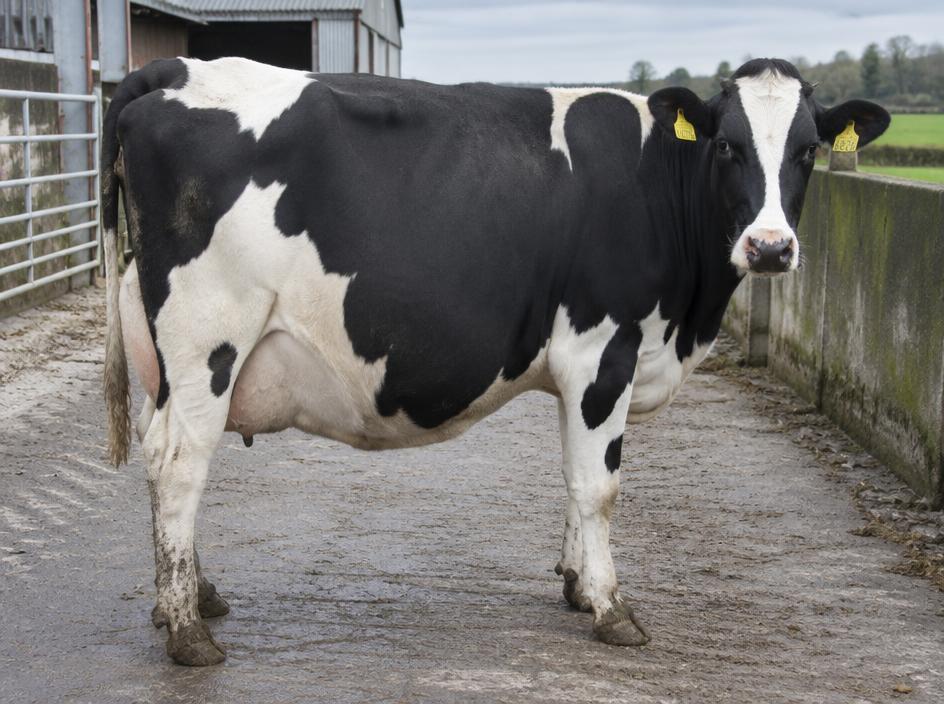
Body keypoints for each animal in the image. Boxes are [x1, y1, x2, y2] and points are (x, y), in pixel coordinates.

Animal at [101, 56, 889, 666]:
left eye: (807, 150)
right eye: (726, 146)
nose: (770, 247)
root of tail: (173, 69)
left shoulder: (580, 370)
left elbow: (573, 475)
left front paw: (577, 584)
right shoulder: (603, 349)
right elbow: (600, 486)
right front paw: (612, 609)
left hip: (164, 354)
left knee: (159, 456)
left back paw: (189, 596)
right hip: (209, 336)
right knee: (179, 464)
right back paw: (188, 632)